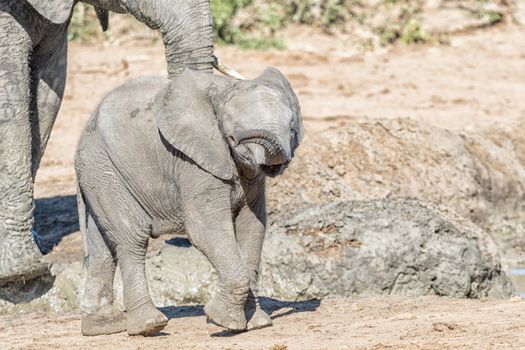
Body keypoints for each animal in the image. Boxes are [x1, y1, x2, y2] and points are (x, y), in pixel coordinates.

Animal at [74, 66, 302, 336]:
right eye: (232, 135)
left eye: (292, 127)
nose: (236, 140)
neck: (226, 88)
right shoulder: (193, 161)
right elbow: (206, 229)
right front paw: (221, 321)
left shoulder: (251, 178)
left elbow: (253, 228)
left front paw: (257, 323)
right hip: (104, 167)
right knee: (133, 235)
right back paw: (149, 326)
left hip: (98, 171)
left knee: (103, 245)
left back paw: (104, 326)